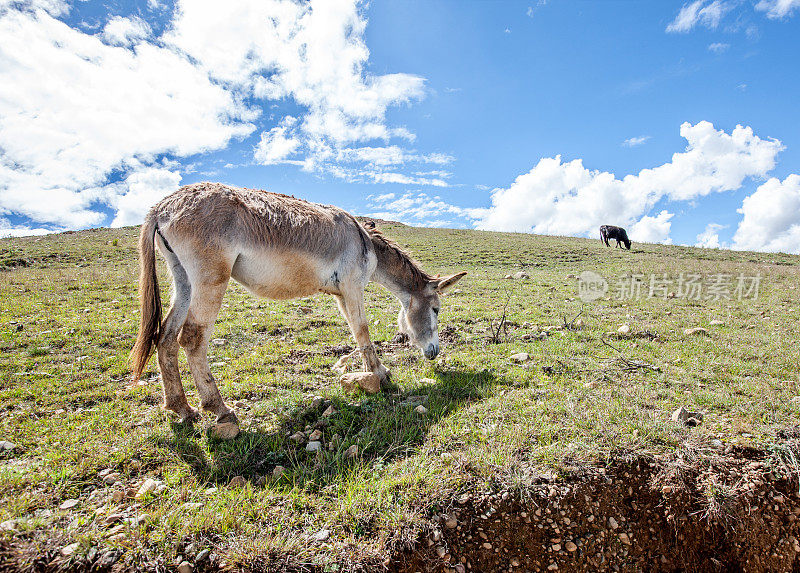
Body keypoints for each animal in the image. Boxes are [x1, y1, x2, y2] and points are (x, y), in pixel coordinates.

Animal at [130, 182, 468, 438]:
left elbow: (355, 331)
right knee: (192, 337)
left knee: (166, 336)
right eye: (436, 309)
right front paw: (381, 375)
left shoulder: (341, 294)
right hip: (211, 279)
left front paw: (372, 372)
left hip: (183, 279)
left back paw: (181, 409)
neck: (365, 242)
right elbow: (362, 329)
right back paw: (219, 409)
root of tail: (161, 206)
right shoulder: (353, 286)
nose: (435, 353)